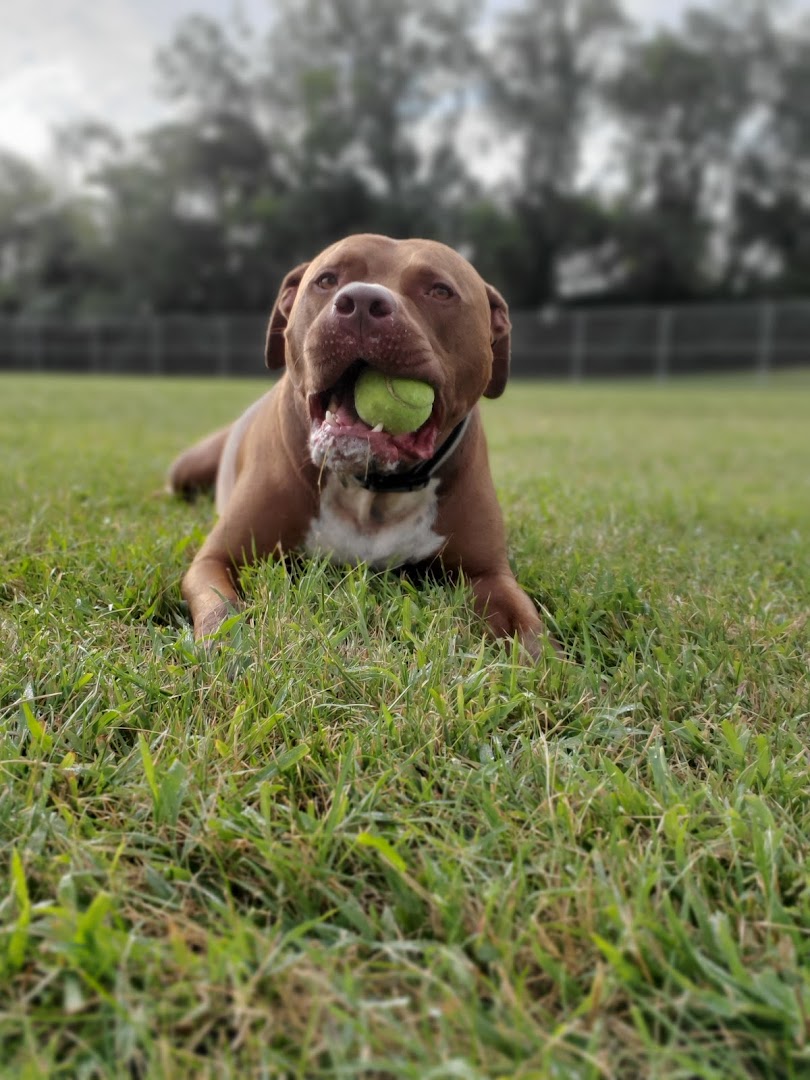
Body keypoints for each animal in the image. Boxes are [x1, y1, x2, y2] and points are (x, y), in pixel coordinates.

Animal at [168, 234, 557, 656]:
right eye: (326, 279)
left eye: (440, 290)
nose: (361, 302)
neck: (373, 485)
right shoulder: (216, 559)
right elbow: (220, 609)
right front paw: (222, 648)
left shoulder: (487, 573)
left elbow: (528, 630)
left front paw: (542, 661)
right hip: (186, 467)